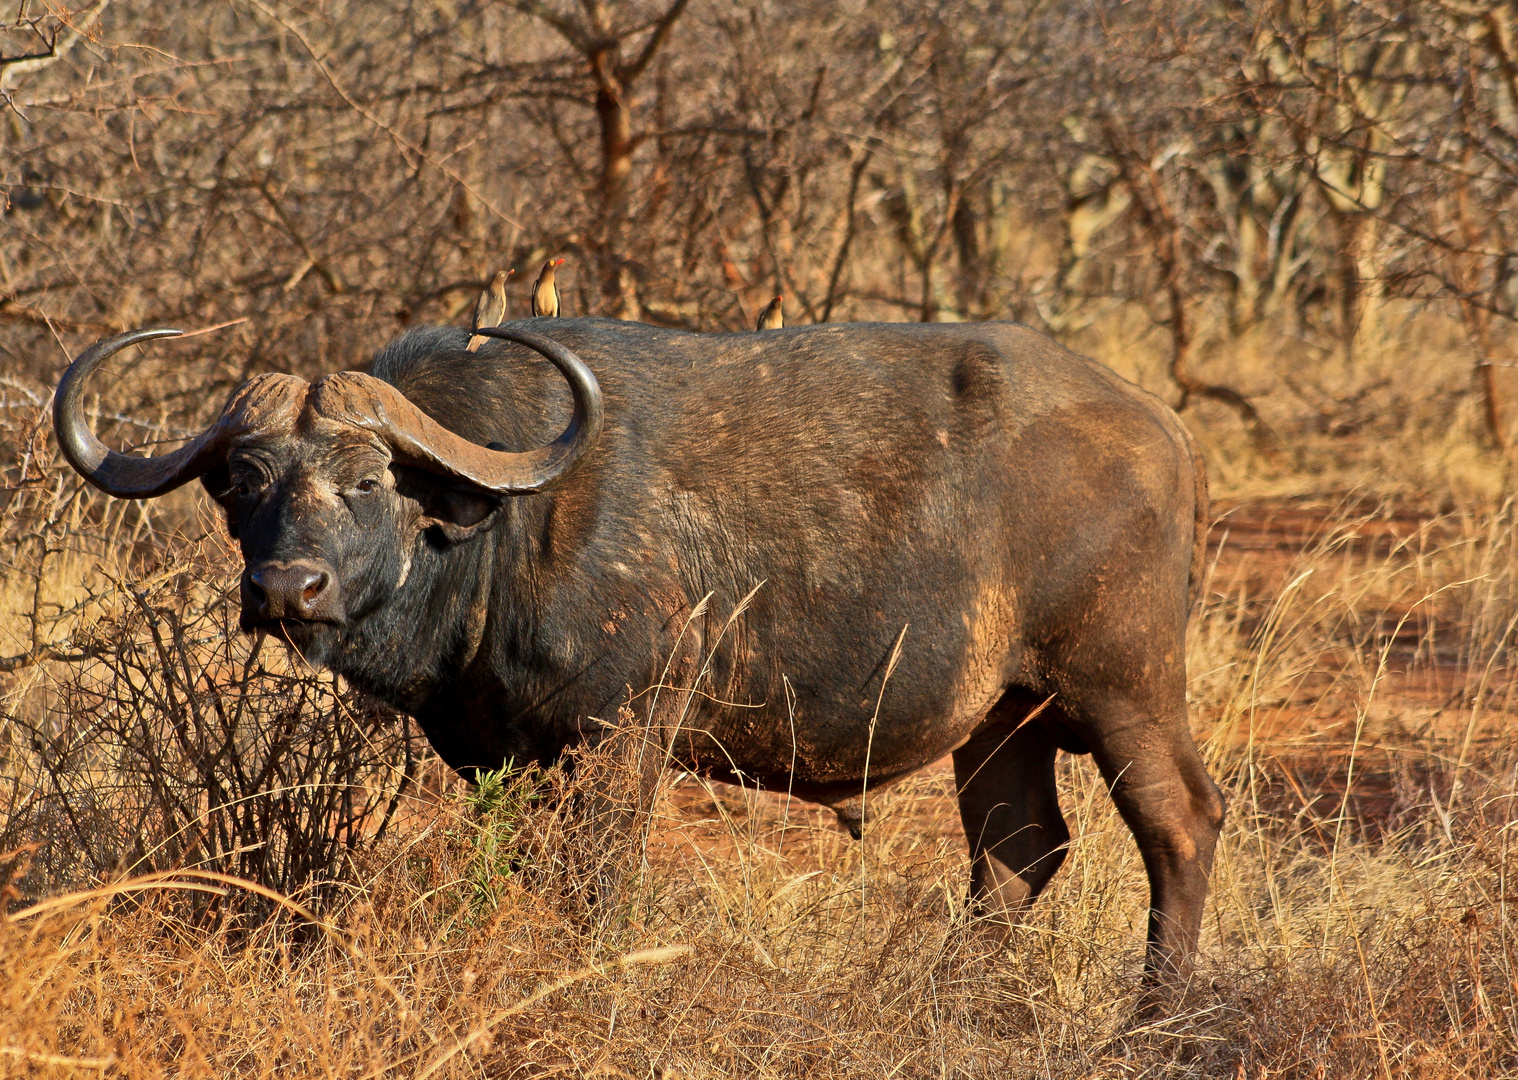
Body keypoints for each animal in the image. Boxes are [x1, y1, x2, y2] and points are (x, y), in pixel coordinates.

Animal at [53, 318, 1226, 990]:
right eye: (243, 483)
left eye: (369, 479)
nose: (285, 590)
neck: (497, 527)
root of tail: (1162, 428)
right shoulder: (499, 754)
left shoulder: (623, 733)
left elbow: (598, 879)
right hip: (1000, 718)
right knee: (1018, 853)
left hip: (1124, 686)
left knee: (1179, 822)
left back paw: (1154, 1014)